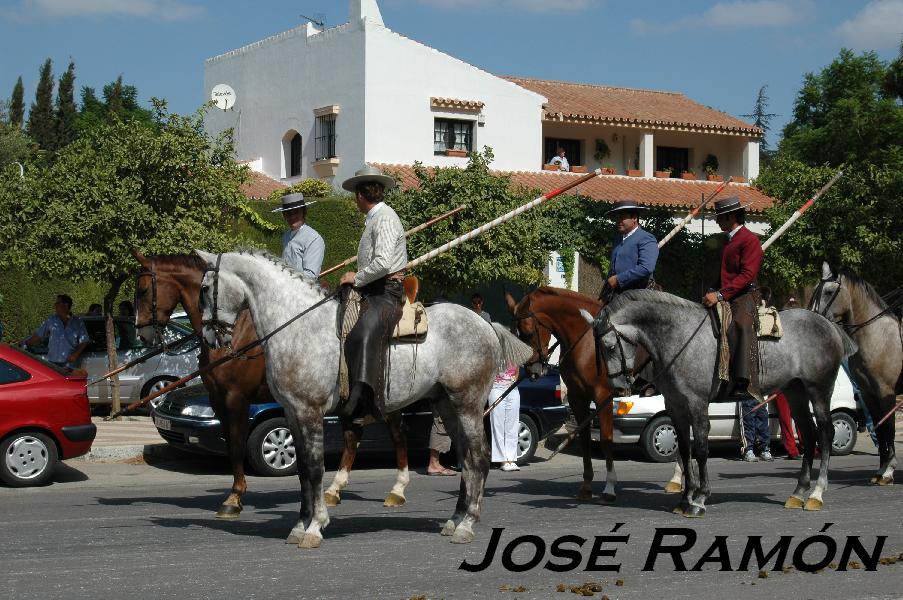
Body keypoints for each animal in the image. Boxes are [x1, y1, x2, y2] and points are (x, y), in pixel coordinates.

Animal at [132, 251, 416, 516]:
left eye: (143, 290)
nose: (142, 335)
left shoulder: (236, 398)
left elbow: (237, 444)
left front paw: (234, 498)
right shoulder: (217, 398)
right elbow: (231, 442)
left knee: (397, 433)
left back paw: (397, 490)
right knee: (352, 437)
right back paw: (333, 491)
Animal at [195, 248, 532, 548]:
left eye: (205, 288)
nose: (211, 338)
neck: (298, 326)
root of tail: (486, 325)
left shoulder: (309, 411)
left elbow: (315, 468)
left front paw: (315, 526)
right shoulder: (292, 412)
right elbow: (303, 469)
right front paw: (300, 524)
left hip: (468, 403)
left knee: (479, 457)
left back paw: (467, 523)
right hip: (446, 405)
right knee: (465, 456)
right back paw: (455, 519)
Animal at [584, 290, 852, 516]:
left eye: (609, 346)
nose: (619, 387)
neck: (679, 335)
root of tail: (827, 324)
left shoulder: (697, 403)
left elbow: (701, 449)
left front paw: (700, 499)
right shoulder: (675, 406)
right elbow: (684, 449)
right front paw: (685, 499)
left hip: (819, 392)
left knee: (826, 434)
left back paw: (817, 493)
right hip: (796, 393)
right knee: (809, 434)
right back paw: (798, 493)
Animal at [808, 262, 900, 482]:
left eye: (829, 291)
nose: (812, 317)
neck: (877, 337)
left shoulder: (886, 392)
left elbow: (889, 428)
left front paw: (889, 470)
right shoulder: (869, 393)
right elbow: (880, 430)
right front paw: (881, 470)